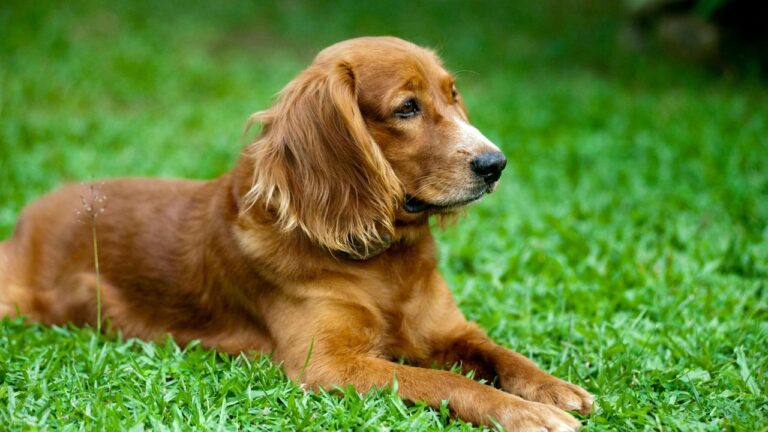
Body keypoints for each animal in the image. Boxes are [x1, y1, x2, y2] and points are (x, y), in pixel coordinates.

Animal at [0, 38, 592, 432]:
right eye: (407, 108)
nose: (495, 164)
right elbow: (446, 382)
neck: (383, 259)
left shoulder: (449, 329)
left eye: (453, 96)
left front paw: (553, 389)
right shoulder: (327, 365)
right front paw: (525, 413)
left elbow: (502, 354)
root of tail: (30, 215)